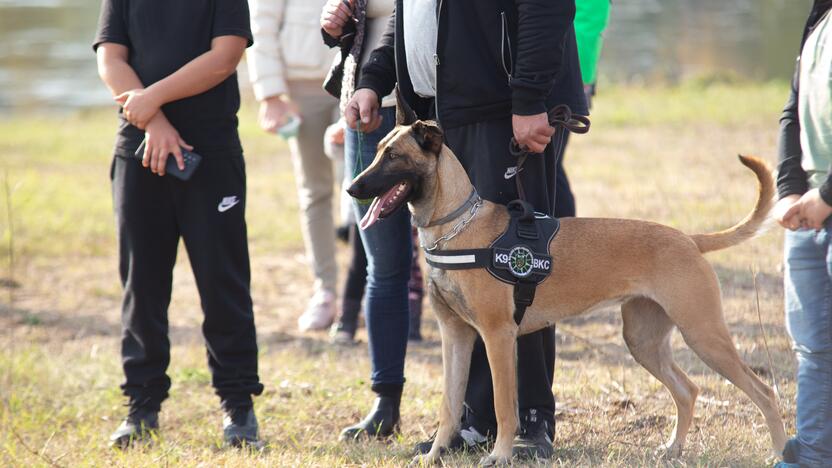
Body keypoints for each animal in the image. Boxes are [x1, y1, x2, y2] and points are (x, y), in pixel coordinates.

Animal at [346, 98, 788, 464]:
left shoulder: (498, 336)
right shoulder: (456, 336)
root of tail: (688, 238)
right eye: (378, 149)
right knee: (688, 390)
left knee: (764, 392)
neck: (459, 225)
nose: (351, 188)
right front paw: (436, 454)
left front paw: (501, 455)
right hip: (644, 341)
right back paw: (674, 449)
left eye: (393, 156)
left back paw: (782, 451)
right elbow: (449, 406)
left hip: (704, 335)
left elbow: (505, 406)